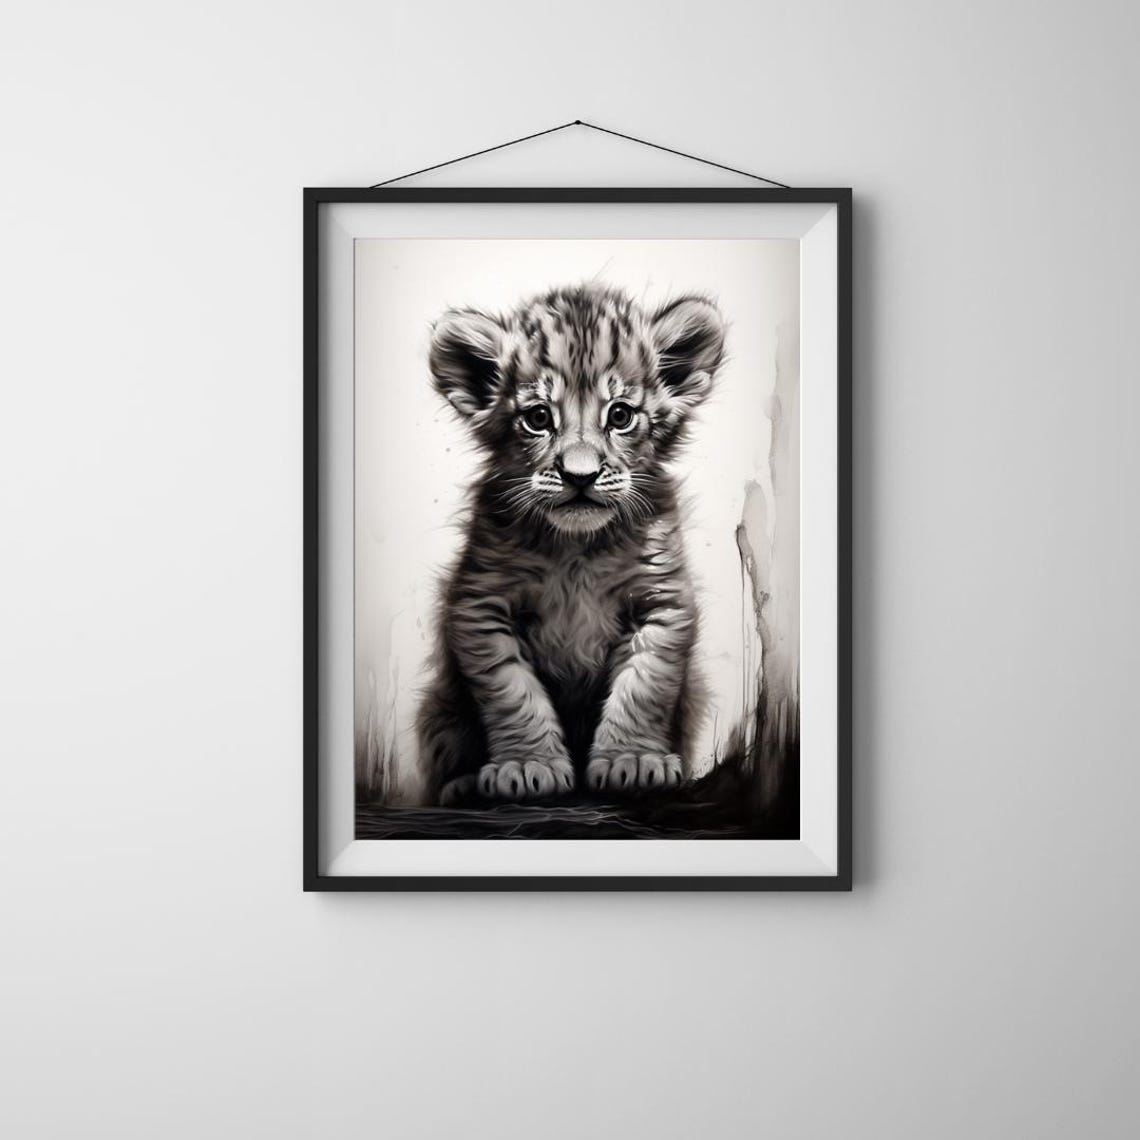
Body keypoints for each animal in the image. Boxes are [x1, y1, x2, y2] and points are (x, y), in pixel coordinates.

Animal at [416, 283, 726, 804]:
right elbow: (512, 691)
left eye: (620, 416)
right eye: (538, 418)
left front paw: (631, 760)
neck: (577, 549)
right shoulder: (481, 605)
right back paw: (463, 785)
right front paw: (526, 766)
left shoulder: (661, 602)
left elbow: (644, 687)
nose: (579, 477)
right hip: (439, 706)